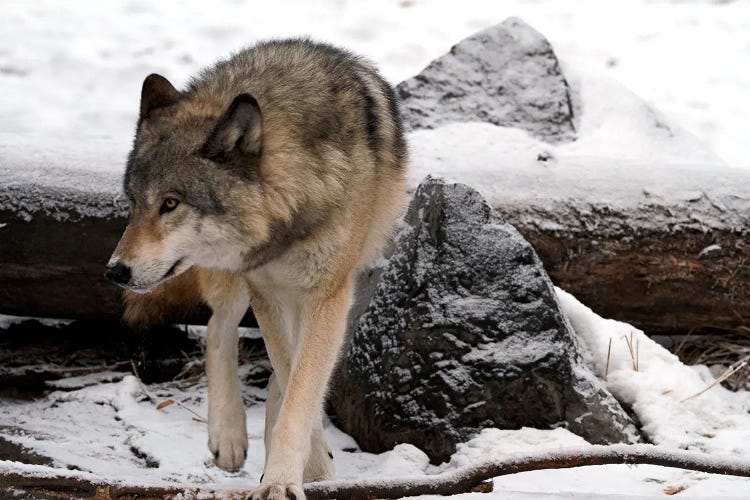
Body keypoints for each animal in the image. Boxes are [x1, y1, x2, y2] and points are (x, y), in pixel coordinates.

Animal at [103, 40, 408, 500]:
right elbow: (290, 374)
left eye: (170, 203)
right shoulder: (265, 290)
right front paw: (311, 469)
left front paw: (284, 477)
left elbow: (299, 388)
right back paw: (227, 436)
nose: (115, 271)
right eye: (133, 203)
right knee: (218, 327)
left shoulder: (326, 296)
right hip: (235, 280)